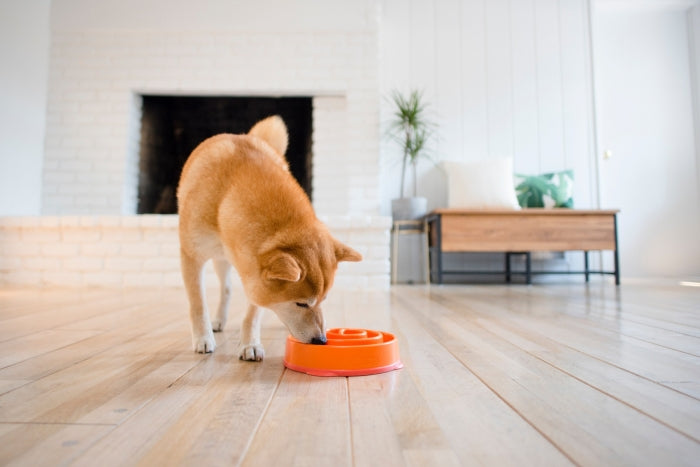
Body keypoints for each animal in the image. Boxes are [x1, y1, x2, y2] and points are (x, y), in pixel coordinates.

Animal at [176, 115, 360, 360]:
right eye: (301, 304)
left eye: (323, 300)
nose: (321, 340)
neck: (227, 193)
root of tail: (248, 136)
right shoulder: (191, 256)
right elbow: (197, 304)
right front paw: (203, 338)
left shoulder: (254, 273)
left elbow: (253, 313)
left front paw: (249, 344)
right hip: (217, 258)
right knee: (226, 288)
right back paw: (217, 322)